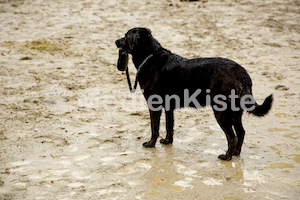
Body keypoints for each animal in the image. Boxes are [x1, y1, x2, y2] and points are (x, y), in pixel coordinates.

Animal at [114, 27, 272, 161]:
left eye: (126, 36)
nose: (115, 41)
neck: (150, 56)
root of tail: (242, 73)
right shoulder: (168, 107)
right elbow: (169, 126)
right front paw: (167, 141)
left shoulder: (154, 105)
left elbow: (155, 128)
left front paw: (151, 143)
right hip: (235, 112)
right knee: (241, 132)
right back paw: (236, 154)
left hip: (221, 112)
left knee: (232, 136)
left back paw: (227, 156)